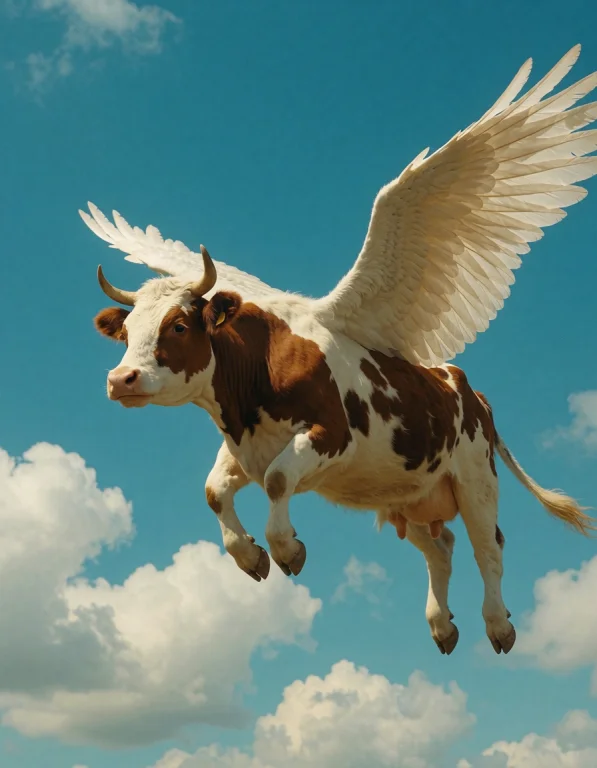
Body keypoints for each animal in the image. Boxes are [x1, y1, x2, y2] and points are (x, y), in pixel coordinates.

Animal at [85, 44, 597, 655]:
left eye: (180, 326)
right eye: (127, 330)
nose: (120, 380)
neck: (251, 385)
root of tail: (468, 387)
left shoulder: (327, 433)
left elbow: (278, 482)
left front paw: (287, 549)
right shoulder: (247, 446)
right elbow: (214, 493)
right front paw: (252, 557)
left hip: (476, 476)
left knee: (487, 547)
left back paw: (497, 624)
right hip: (407, 493)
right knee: (441, 549)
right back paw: (442, 625)